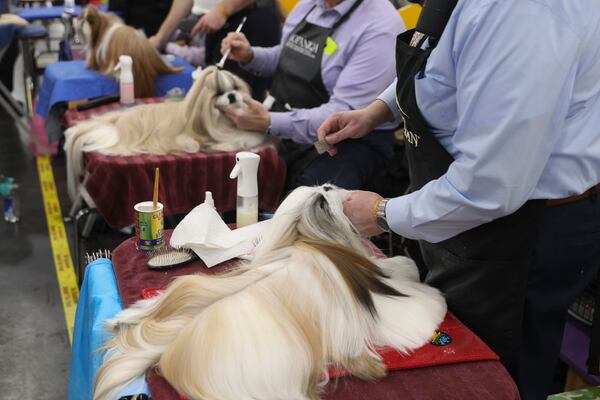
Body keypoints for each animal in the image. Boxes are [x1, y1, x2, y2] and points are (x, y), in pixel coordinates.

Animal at [90, 185, 446, 400]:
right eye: (323, 197)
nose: (328, 186)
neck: (314, 239)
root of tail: (169, 350)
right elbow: (418, 296)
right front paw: (436, 298)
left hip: (186, 289)